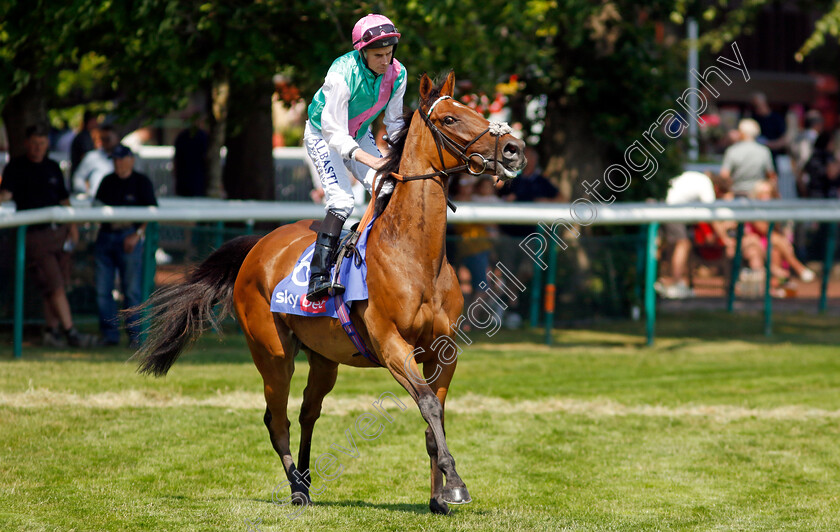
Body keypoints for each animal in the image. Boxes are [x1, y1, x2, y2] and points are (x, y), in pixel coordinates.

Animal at [131, 71, 524, 516]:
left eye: (476, 110)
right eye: (450, 119)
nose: (514, 149)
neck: (415, 256)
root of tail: (259, 246)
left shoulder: (444, 349)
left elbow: (434, 415)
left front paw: (439, 498)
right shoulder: (392, 345)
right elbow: (426, 404)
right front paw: (455, 484)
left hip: (323, 358)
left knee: (308, 411)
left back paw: (305, 478)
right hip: (273, 353)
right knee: (277, 419)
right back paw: (296, 489)